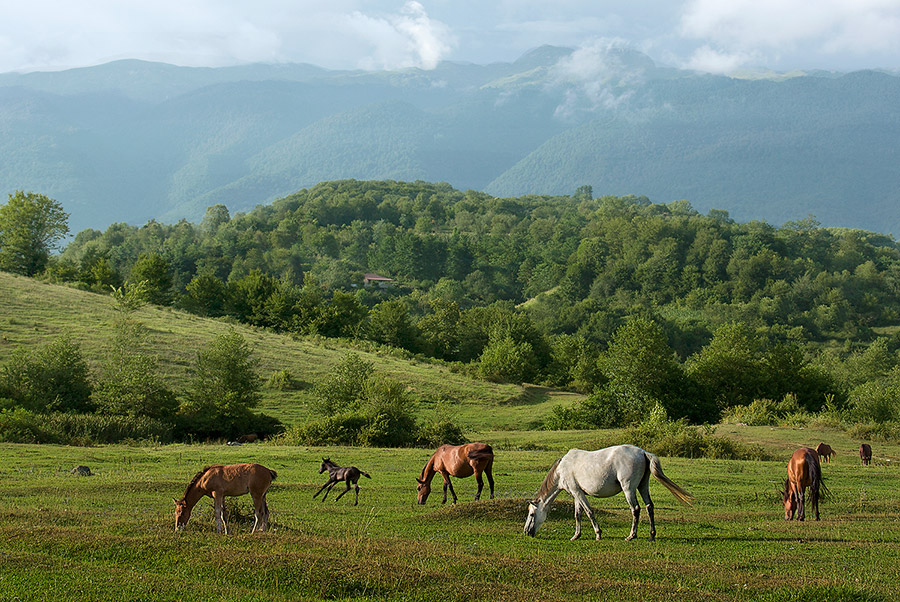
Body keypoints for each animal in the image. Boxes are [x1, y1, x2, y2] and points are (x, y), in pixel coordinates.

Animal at [524, 442, 692, 540]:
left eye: (532, 514)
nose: (526, 532)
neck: (561, 469)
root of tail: (643, 452)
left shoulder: (577, 492)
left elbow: (589, 512)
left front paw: (598, 534)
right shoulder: (577, 494)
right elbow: (578, 514)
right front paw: (576, 535)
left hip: (629, 489)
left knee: (636, 509)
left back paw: (631, 536)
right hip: (642, 486)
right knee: (649, 507)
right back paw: (652, 535)